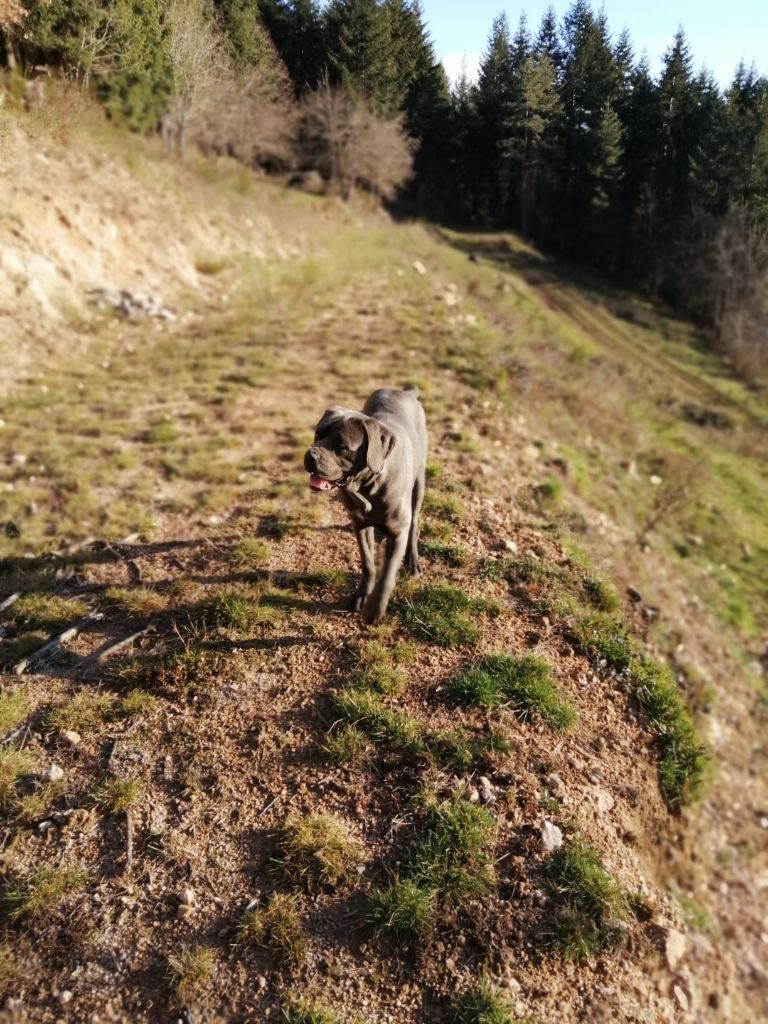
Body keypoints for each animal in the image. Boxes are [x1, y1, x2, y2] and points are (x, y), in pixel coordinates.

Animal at [305, 385, 428, 618]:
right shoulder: (361, 526)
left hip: (419, 482)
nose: (310, 455)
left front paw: (375, 610)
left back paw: (413, 560)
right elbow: (368, 563)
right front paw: (361, 596)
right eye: (317, 435)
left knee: (415, 522)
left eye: (342, 446)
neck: (368, 486)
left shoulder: (398, 533)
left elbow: (387, 575)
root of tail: (407, 392)